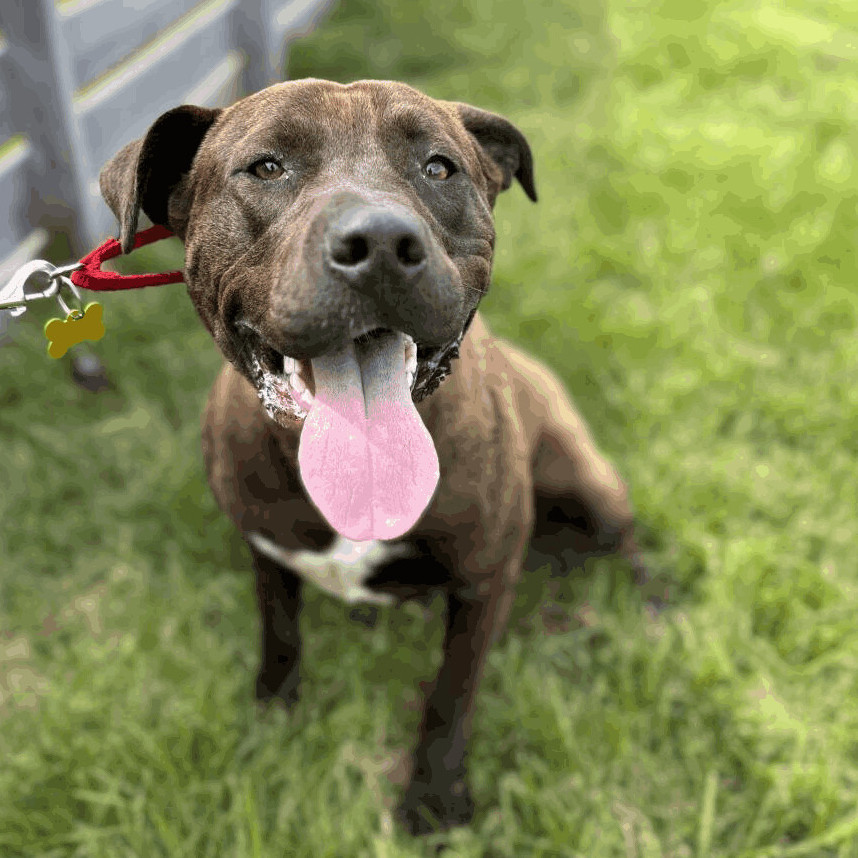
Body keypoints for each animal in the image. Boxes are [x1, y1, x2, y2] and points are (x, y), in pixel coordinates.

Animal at [98, 78, 648, 828]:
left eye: (440, 167)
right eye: (266, 167)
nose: (382, 242)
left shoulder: (482, 581)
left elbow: (450, 698)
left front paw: (435, 801)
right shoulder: (267, 554)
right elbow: (280, 637)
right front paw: (275, 718)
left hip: (589, 483)